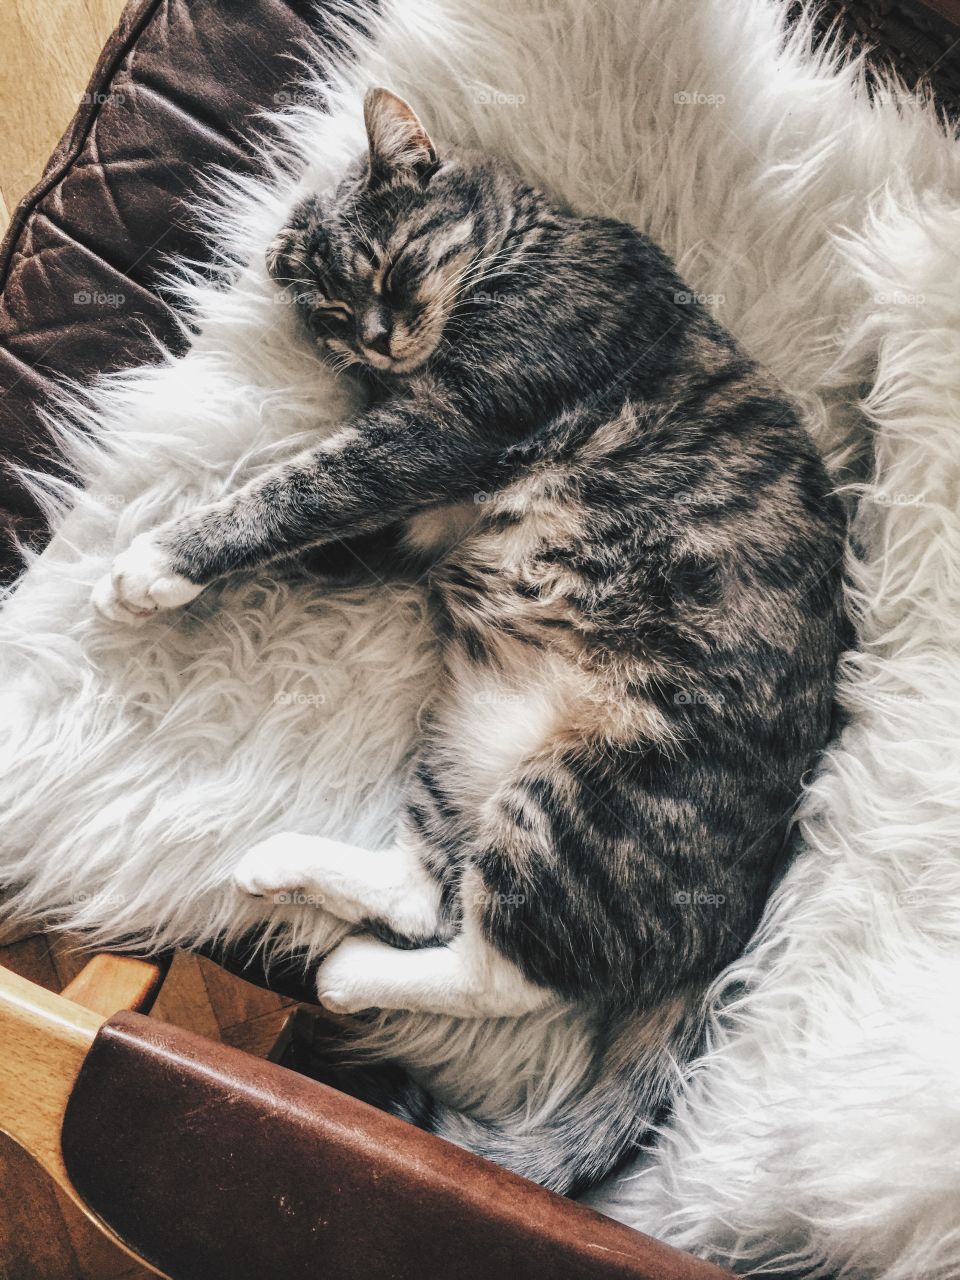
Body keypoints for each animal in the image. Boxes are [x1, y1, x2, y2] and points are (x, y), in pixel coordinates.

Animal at [94, 87, 855, 1187]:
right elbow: (309, 515)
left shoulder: (448, 428)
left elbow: (297, 489)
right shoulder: (418, 513)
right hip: (467, 744)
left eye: (389, 268)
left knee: (505, 969)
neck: (531, 241)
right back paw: (283, 867)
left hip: (591, 802)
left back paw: (346, 972)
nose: (376, 338)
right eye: (332, 315)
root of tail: (743, 911)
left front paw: (156, 561)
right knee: (430, 893)